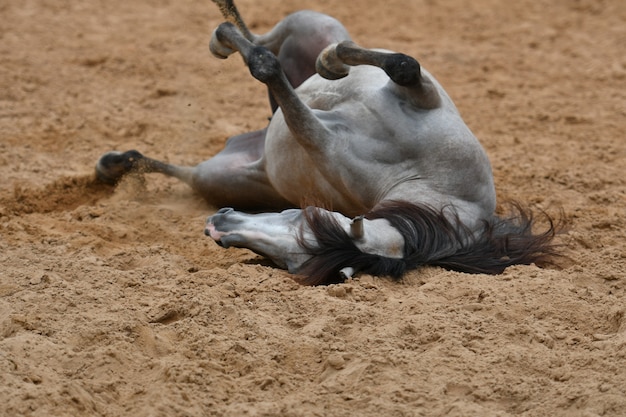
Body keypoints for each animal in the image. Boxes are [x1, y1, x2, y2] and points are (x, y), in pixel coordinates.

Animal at [96, 0, 556, 284]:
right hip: (311, 24)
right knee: (266, 38)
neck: (424, 175)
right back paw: (228, 34)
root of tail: (252, 143)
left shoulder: (322, 146)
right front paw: (332, 61)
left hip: (218, 177)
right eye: (305, 218)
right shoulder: (422, 93)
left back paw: (116, 164)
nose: (217, 229)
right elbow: (403, 64)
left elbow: (270, 74)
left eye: (290, 257)